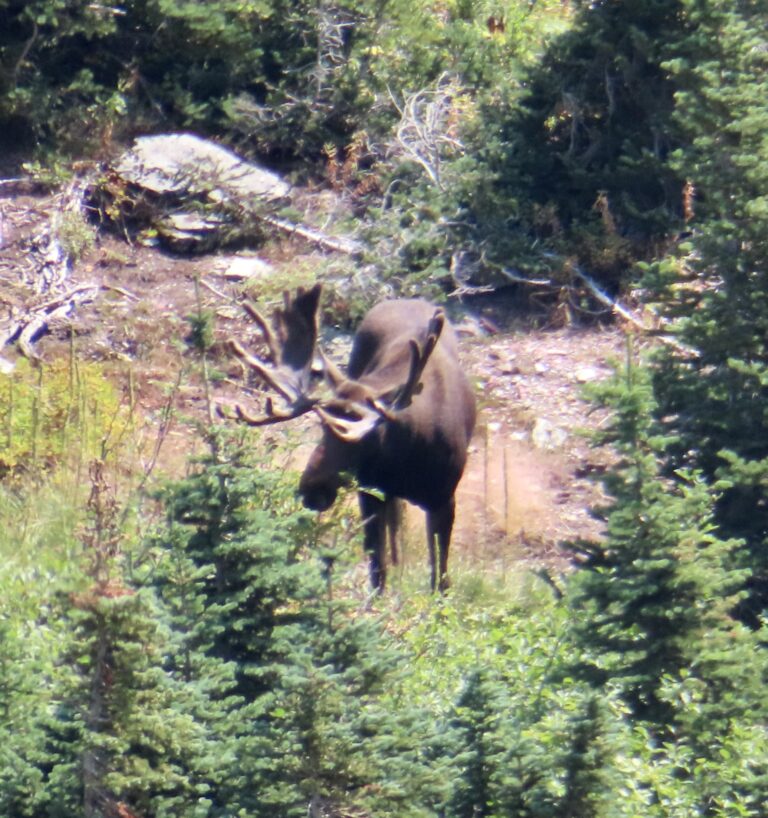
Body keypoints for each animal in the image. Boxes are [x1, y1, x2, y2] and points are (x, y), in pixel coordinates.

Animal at [222, 284, 474, 588]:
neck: (408, 457)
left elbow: (441, 577)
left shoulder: (444, 498)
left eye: (361, 441)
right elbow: (377, 568)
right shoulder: (369, 492)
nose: (310, 489)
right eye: (322, 427)